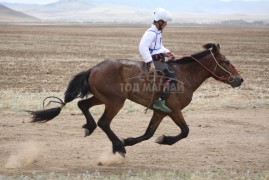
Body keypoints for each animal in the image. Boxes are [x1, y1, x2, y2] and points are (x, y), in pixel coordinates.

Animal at [27, 43, 243, 158]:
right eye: (226, 62)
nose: (239, 79)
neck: (184, 76)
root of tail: (93, 69)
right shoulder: (174, 110)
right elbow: (185, 131)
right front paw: (163, 140)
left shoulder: (160, 111)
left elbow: (148, 134)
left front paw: (132, 140)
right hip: (115, 102)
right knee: (104, 122)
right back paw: (118, 146)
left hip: (102, 98)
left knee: (83, 105)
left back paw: (91, 128)